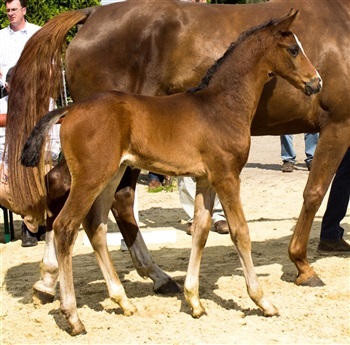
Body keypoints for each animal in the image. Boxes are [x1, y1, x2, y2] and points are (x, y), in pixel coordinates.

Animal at [4, 0, 348, 298]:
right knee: (76, 197)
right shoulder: (337, 125)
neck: (220, 101)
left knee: (108, 200)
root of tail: (91, 15)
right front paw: (302, 266)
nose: (316, 82)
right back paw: (57, 282)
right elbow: (312, 194)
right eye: (294, 49)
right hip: (103, 165)